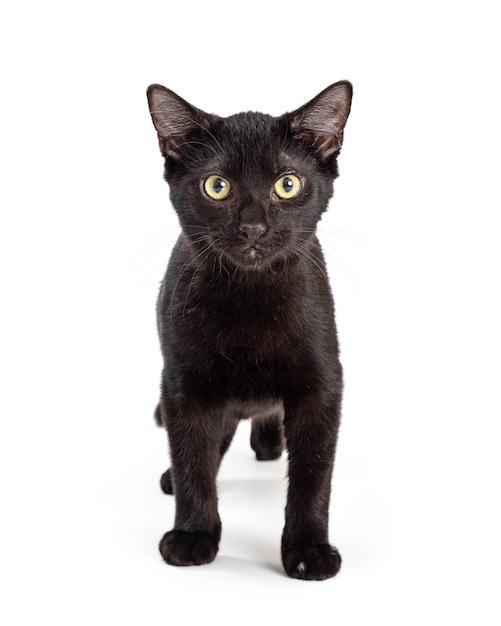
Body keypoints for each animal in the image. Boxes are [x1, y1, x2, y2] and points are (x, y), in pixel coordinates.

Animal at [148, 81, 352, 580]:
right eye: (217, 186)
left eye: (287, 184)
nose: (253, 228)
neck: (249, 297)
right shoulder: (182, 382)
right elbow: (193, 459)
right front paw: (193, 535)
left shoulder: (324, 383)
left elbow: (313, 474)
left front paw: (308, 549)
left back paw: (268, 441)